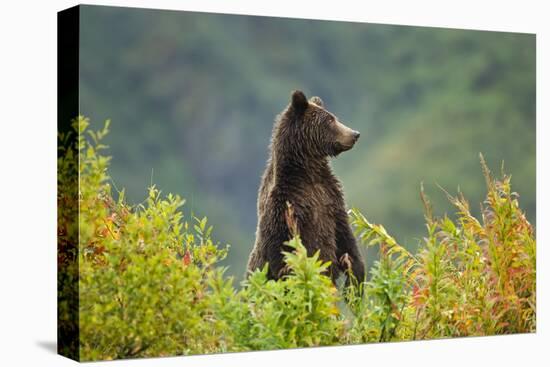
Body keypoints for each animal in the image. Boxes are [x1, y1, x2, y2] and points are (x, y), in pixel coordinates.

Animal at [249, 90, 366, 284]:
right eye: (329, 120)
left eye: (334, 117)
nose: (355, 134)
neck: (307, 173)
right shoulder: (285, 206)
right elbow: (282, 249)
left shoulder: (331, 197)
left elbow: (345, 237)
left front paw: (355, 277)